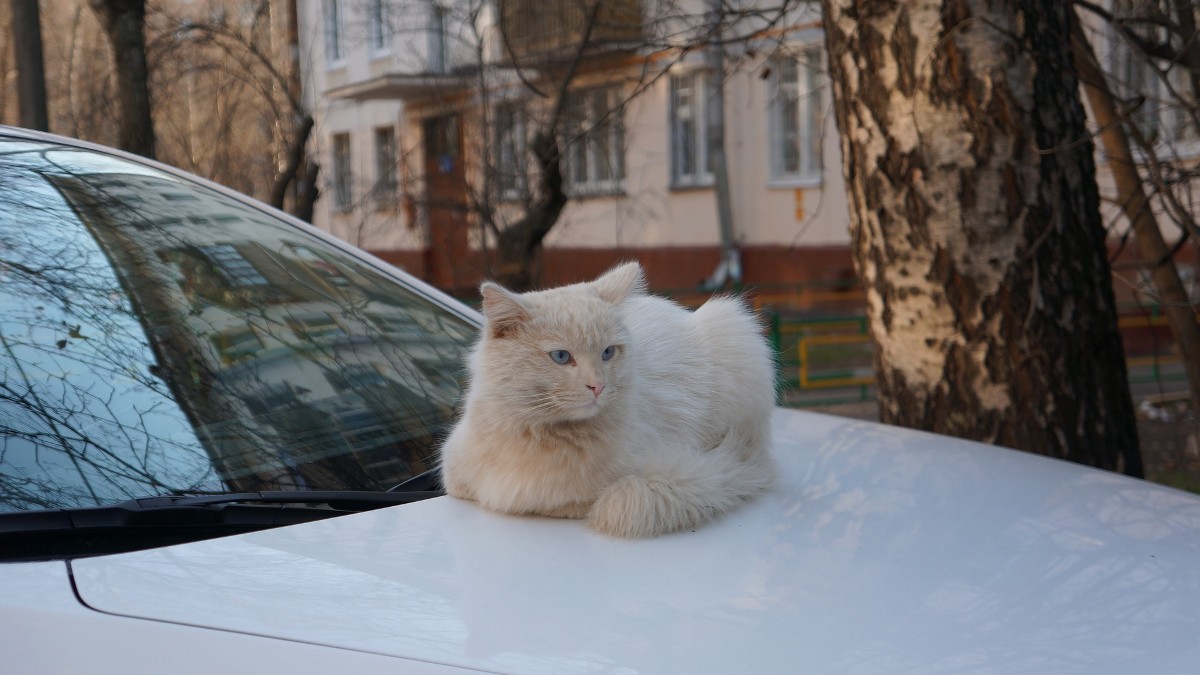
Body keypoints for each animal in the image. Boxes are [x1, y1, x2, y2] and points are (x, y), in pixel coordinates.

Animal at [441, 261, 777, 535]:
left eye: (607, 352)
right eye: (561, 357)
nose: (598, 386)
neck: (539, 435)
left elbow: (573, 503)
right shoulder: (454, 474)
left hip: (732, 330)